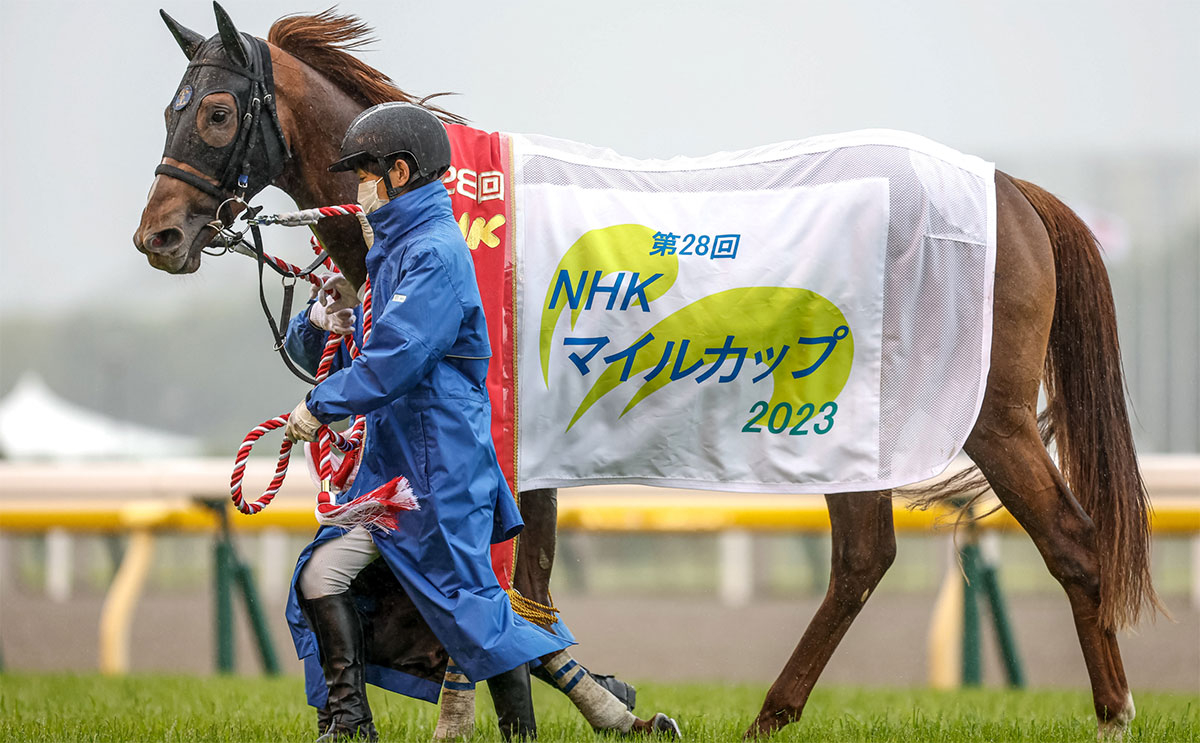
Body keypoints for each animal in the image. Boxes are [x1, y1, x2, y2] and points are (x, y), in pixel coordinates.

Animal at [133, 5, 1161, 739]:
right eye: (172, 109)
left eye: (216, 111)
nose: (159, 237)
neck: (452, 205)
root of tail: (1010, 188)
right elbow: (523, 593)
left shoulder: (510, 433)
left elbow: (511, 590)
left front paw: (558, 703)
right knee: (864, 557)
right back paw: (771, 716)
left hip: (987, 414)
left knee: (1071, 544)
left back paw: (1113, 713)